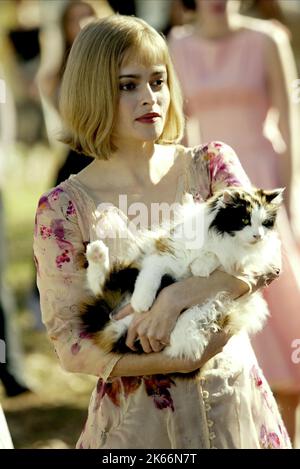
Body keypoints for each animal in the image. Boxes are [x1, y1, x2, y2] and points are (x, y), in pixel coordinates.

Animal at [79, 186, 282, 358]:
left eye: (265, 223)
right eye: (245, 220)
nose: (258, 236)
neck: (221, 238)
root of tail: (118, 326)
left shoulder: (238, 261)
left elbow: (216, 258)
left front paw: (200, 267)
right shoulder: (164, 252)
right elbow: (149, 279)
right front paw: (142, 303)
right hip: (128, 276)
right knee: (100, 285)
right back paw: (96, 251)